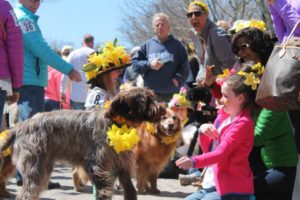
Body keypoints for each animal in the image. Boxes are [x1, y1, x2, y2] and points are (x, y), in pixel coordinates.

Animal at [0, 87, 164, 200]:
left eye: (152, 97)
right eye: (146, 101)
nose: (162, 108)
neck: (116, 123)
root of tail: (20, 127)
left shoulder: (121, 166)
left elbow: (130, 191)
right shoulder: (97, 166)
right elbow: (104, 192)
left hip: (43, 168)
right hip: (36, 169)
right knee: (26, 194)